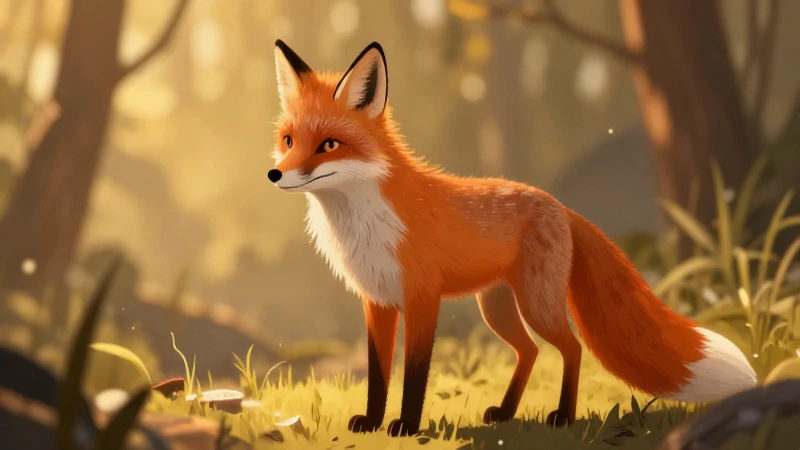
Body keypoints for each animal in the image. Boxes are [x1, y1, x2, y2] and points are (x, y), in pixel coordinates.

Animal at [266, 40, 758, 437]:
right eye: (288, 140)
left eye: (329, 145)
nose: (275, 174)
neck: (363, 220)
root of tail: (560, 206)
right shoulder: (378, 303)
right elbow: (378, 373)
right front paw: (371, 422)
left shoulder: (422, 298)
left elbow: (415, 373)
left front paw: (405, 425)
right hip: (498, 307)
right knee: (530, 351)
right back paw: (505, 412)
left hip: (536, 304)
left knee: (571, 348)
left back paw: (563, 416)